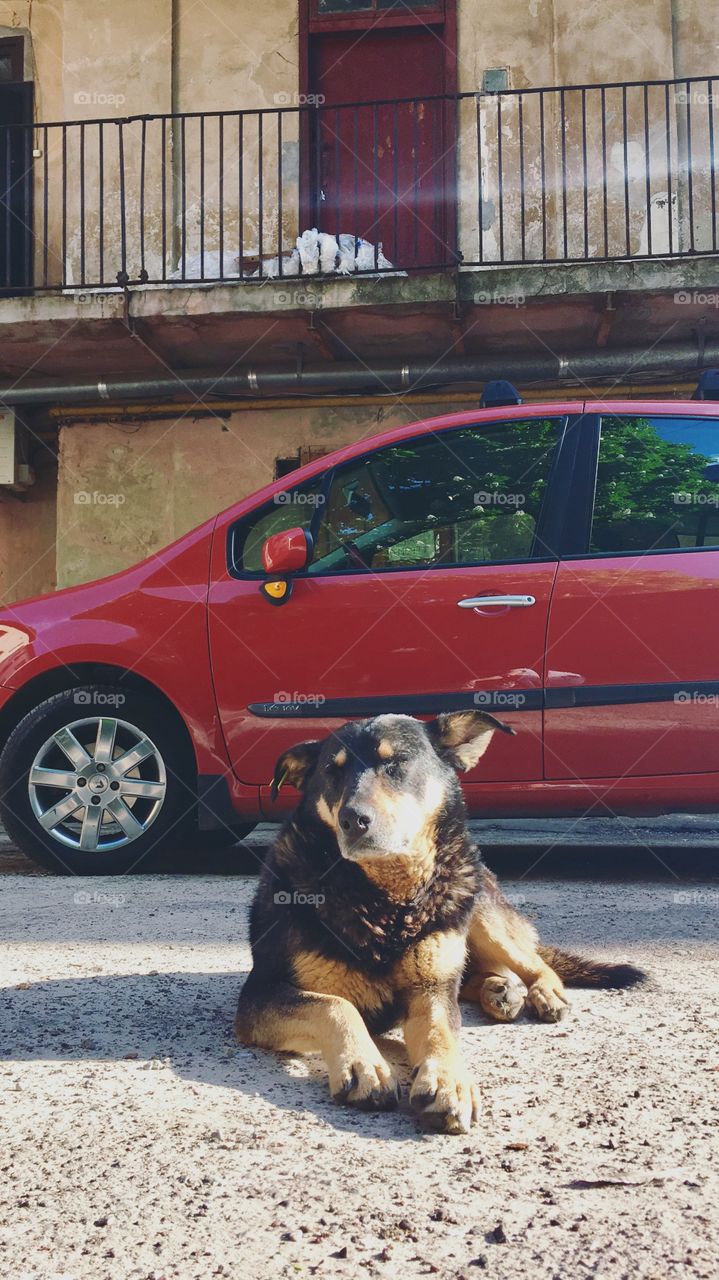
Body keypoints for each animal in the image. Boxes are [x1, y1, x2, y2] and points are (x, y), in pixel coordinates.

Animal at [235, 716, 644, 1136]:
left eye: (396, 762)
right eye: (333, 771)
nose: (353, 820)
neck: (386, 901)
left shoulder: (429, 989)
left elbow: (439, 1030)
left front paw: (449, 1082)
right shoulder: (260, 995)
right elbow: (335, 1005)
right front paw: (364, 1064)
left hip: (477, 908)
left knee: (531, 964)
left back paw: (541, 993)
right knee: (479, 975)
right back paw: (500, 991)